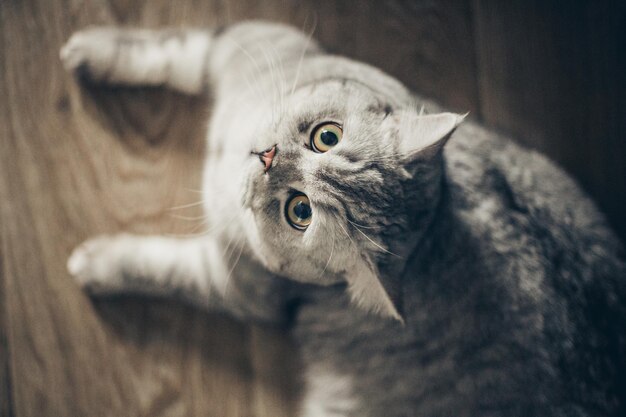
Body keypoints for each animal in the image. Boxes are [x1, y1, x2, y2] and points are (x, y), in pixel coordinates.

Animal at [59, 20, 624, 416]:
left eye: (300, 212)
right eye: (325, 136)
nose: (267, 158)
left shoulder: (237, 283)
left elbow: (155, 266)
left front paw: (96, 264)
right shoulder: (245, 41)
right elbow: (172, 51)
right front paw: (90, 50)